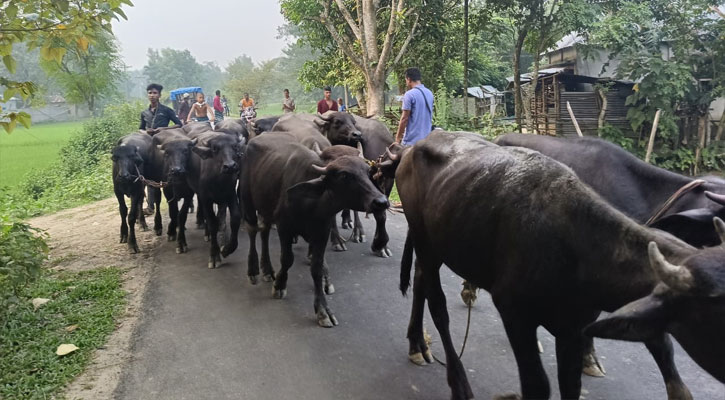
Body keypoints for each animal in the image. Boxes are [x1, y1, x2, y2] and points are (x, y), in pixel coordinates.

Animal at [396, 131, 724, 400]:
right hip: (426, 241)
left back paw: (417, 343)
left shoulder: (573, 329)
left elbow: (572, 385)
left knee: (420, 281)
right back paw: (458, 382)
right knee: (438, 307)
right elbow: (538, 386)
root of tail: (414, 148)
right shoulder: (514, 313)